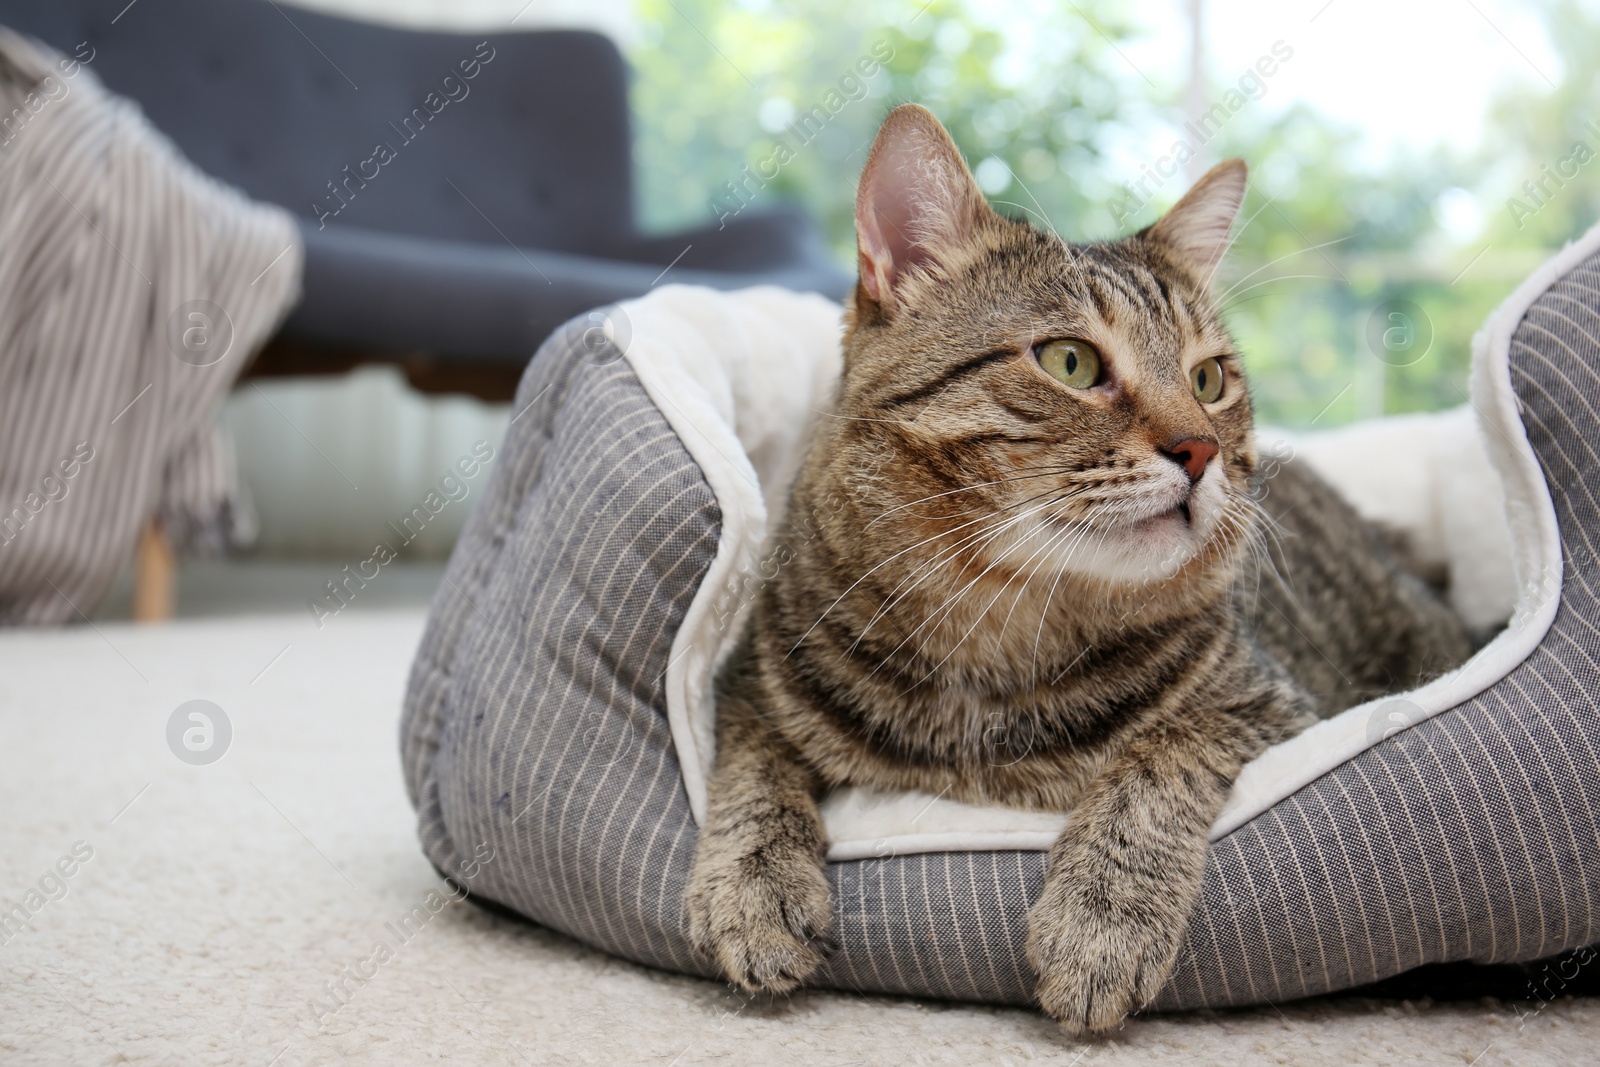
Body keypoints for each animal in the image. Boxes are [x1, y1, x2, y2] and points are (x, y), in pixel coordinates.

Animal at [688, 106, 1472, 1036]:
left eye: (1210, 378)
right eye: (1070, 362)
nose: (1201, 449)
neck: (994, 629)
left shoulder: (1276, 707)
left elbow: (1157, 759)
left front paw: (1101, 918)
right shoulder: (747, 688)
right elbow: (755, 773)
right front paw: (753, 884)